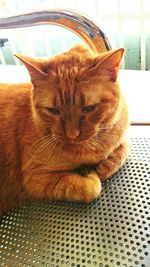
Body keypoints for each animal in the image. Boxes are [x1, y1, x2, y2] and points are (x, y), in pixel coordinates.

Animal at [0, 45, 129, 215]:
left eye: (89, 108)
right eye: (53, 111)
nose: (72, 134)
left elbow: (123, 147)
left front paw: (107, 165)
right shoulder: (35, 178)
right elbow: (91, 188)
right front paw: (90, 173)